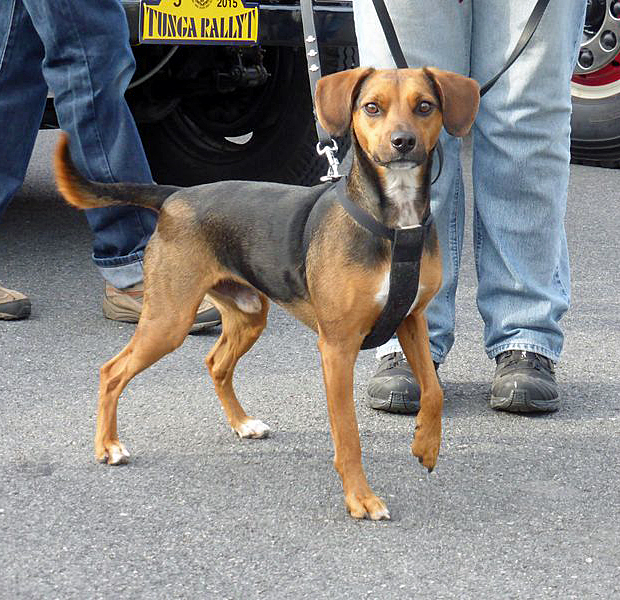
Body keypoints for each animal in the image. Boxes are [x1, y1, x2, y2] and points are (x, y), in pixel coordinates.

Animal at [55, 67, 479, 520]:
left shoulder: (411, 319)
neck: (394, 222)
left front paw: (426, 445)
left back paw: (242, 424)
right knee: (112, 371)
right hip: (169, 320)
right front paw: (360, 499)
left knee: (216, 363)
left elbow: (433, 391)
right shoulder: (337, 347)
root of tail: (175, 195)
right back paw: (108, 446)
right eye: (372, 107)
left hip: (248, 314)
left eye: (425, 106)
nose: (403, 141)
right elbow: (348, 434)